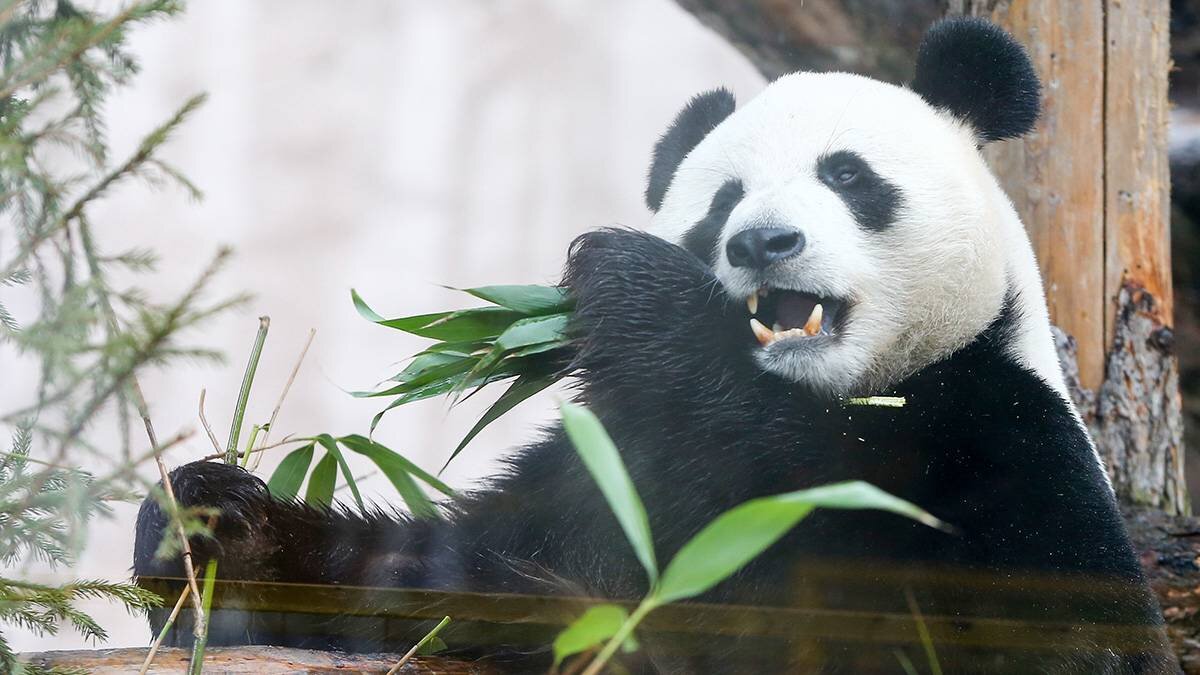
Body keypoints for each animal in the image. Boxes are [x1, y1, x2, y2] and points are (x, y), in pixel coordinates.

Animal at [133, 17, 1171, 672]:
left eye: (846, 174)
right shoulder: (605, 473)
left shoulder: (1000, 438)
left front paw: (632, 287)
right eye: (723, 202)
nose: (762, 242)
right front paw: (214, 529)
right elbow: (425, 574)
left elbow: (1022, 632)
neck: (846, 388)